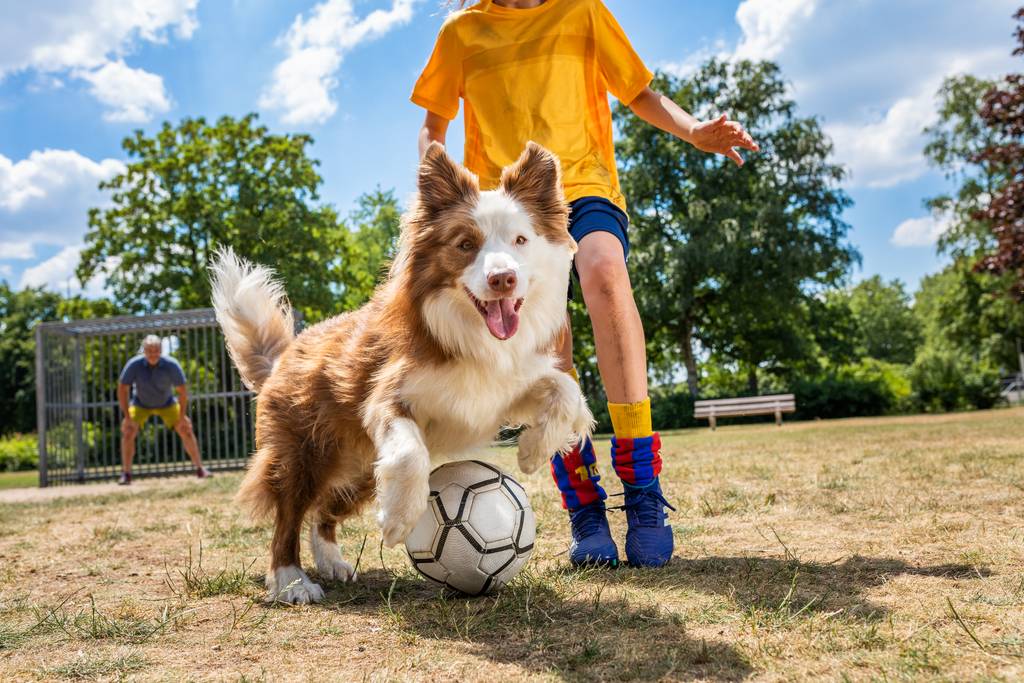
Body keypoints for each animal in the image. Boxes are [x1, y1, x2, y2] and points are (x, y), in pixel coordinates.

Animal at [209, 143, 593, 602]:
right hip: (301, 455)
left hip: (361, 469)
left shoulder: (500, 389)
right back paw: (293, 581)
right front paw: (398, 520)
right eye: (466, 243)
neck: (468, 332)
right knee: (289, 517)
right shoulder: (386, 397)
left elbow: (565, 389)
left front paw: (534, 449)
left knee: (323, 512)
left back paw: (332, 562)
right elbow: (411, 453)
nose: (503, 278)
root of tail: (284, 355)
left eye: (521, 240)